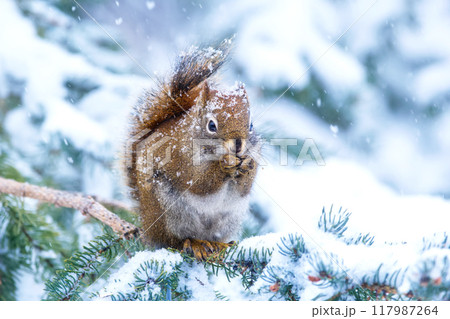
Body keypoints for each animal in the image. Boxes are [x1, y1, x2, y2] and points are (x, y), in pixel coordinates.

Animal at [123, 38, 260, 262]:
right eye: (211, 125)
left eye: (250, 125)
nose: (238, 145)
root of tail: (147, 226)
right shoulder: (180, 159)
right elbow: (198, 183)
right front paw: (224, 166)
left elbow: (244, 188)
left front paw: (250, 164)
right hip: (168, 213)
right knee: (173, 241)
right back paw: (194, 244)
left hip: (229, 218)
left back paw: (219, 245)